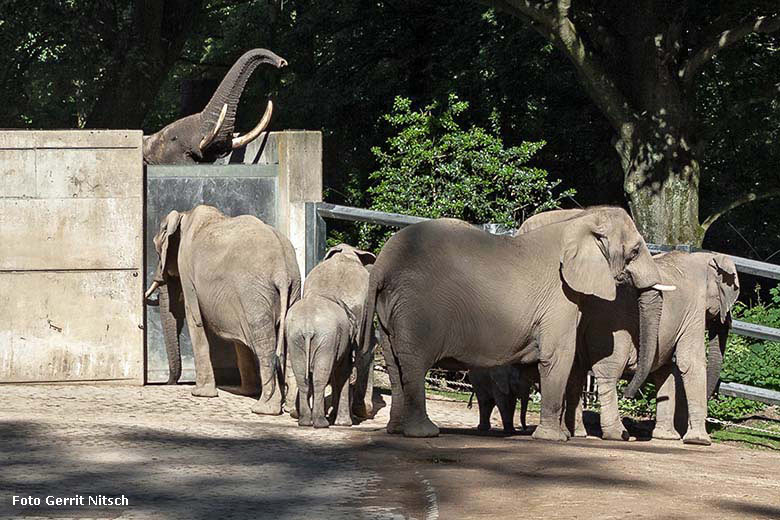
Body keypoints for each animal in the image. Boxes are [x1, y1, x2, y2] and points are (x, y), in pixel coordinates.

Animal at [145, 204, 300, 414]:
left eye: (156, 247)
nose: (169, 383)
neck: (186, 215)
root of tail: (282, 272)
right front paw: (243, 391)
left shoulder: (187, 269)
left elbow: (195, 319)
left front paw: (200, 393)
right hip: (293, 288)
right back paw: (291, 409)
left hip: (253, 293)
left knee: (263, 342)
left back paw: (264, 408)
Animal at [284, 246, 376, 428]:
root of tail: (308, 328)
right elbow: (345, 369)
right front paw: (344, 423)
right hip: (324, 338)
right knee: (320, 376)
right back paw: (321, 422)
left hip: (296, 337)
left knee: (303, 377)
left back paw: (304, 420)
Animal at [362, 207, 672, 438]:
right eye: (635, 251)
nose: (628, 432)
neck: (580, 219)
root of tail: (380, 266)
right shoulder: (559, 296)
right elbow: (558, 356)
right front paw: (554, 438)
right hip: (416, 307)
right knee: (414, 364)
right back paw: (425, 432)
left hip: (392, 309)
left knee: (394, 364)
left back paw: (395, 430)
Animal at [568, 250, 740, 444]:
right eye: (734, 292)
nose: (725, 319)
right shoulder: (695, 306)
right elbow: (690, 361)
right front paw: (699, 441)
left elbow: (667, 369)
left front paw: (667, 437)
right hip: (610, 324)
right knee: (608, 372)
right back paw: (618, 434)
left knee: (575, 371)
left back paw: (578, 432)